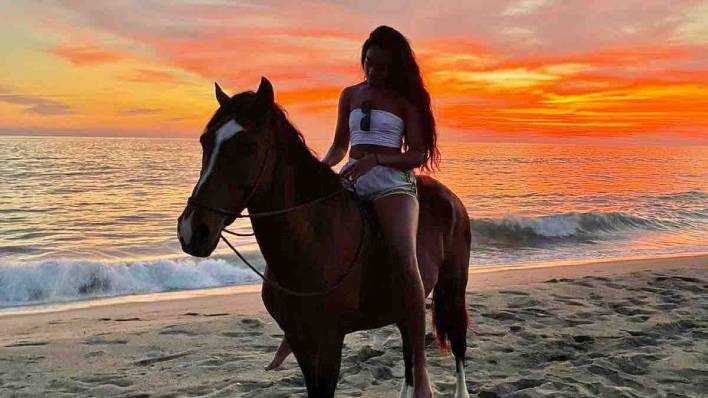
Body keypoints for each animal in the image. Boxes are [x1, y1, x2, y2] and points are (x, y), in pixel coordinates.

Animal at [177, 77, 472, 398]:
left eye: (249, 146)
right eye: (205, 141)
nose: (192, 230)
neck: (312, 242)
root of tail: (452, 199)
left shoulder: (330, 340)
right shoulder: (299, 340)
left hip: (452, 289)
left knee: (456, 346)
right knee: (410, 355)